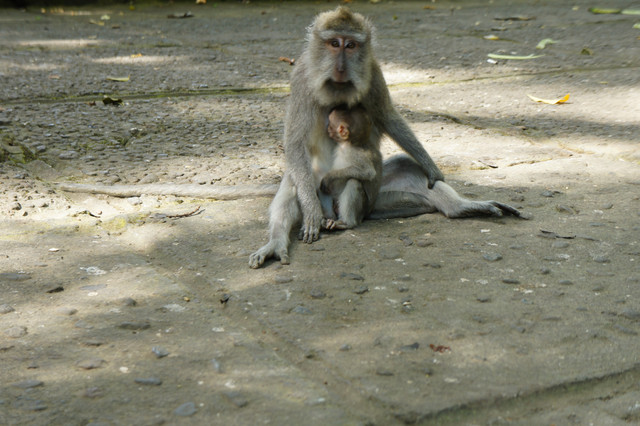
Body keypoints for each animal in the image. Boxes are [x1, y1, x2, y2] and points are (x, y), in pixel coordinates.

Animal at [248, 6, 524, 268]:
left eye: (351, 45)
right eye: (334, 43)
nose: (340, 68)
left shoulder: (373, 70)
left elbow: (388, 117)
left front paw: (432, 168)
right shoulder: (302, 78)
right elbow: (295, 144)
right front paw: (311, 212)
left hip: (375, 199)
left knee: (406, 167)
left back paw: (461, 207)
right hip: (320, 187)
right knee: (294, 181)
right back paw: (277, 241)